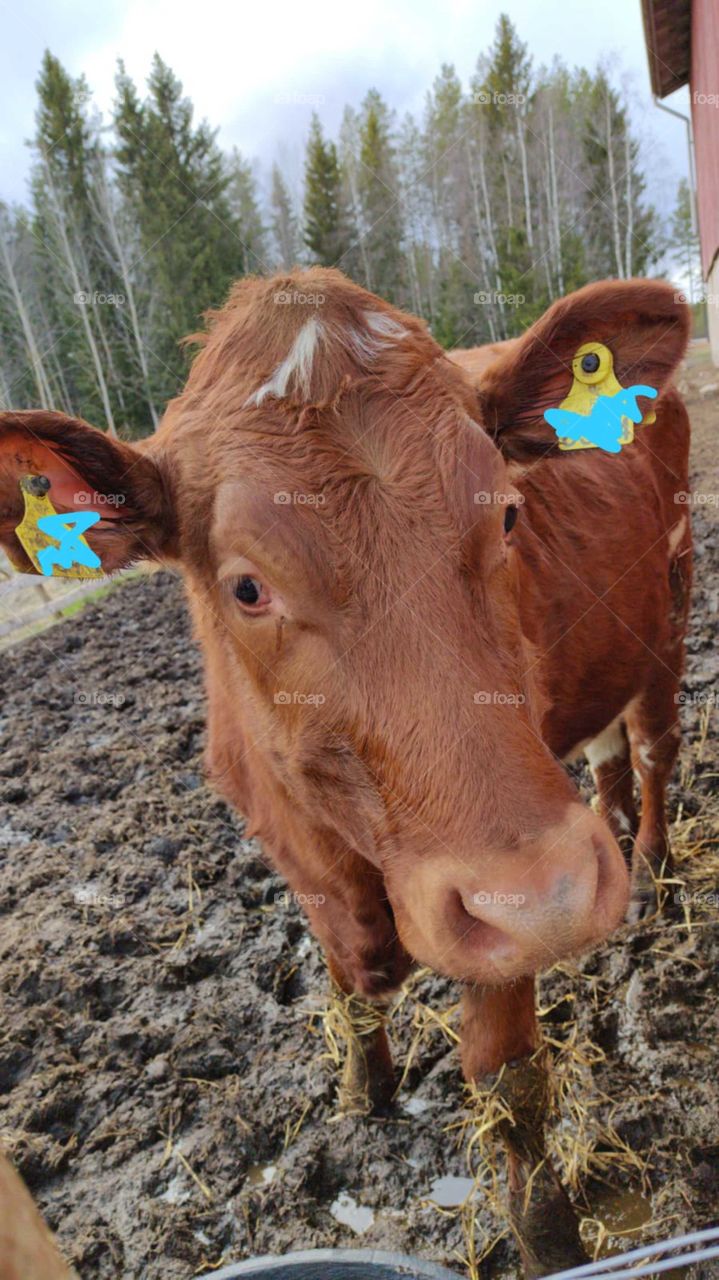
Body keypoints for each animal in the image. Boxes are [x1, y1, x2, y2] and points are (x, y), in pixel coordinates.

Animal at [0, 269, 691, 1277]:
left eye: (508, 513)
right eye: (247, 587)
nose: (555, 898)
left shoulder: (484, 900)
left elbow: (507, 1083)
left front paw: (549, 1240)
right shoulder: (301, 856)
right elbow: (345, 986)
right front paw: (363, 1096)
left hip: (668, 620)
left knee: (649, 750)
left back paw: (647, 871)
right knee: (606, 758)